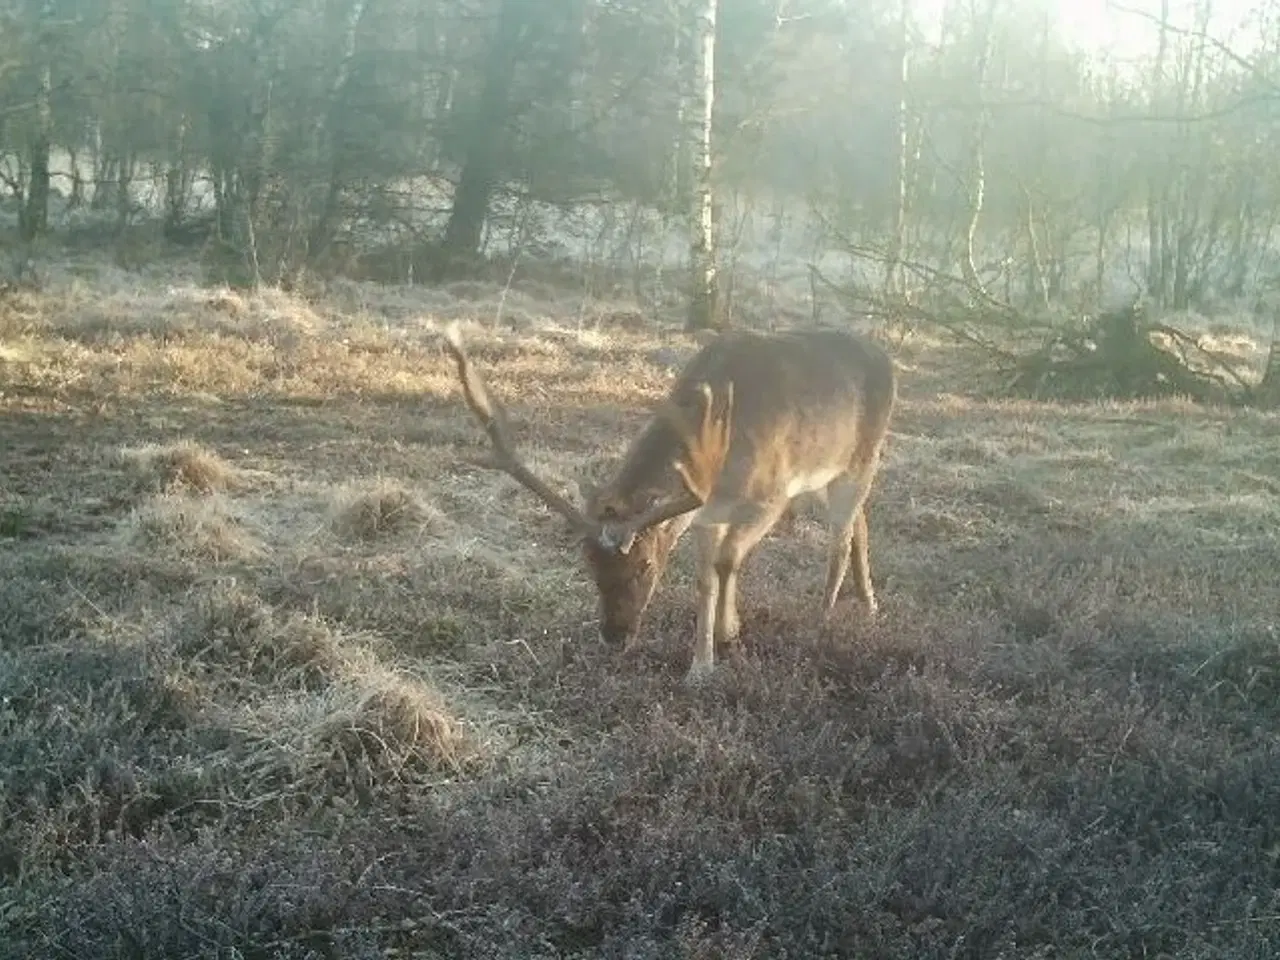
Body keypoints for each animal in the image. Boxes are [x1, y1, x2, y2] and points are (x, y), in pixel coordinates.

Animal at [445, 323, 896, 686]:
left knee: (840, 537)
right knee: (862, 522)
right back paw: (869, 603)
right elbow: (705, 580)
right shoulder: (705, 515)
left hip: (859, 461)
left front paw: (729, 632)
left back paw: (822, 621)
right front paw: (702, 665)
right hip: (829, 478)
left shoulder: (770, 496)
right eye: (587, 564)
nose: (614, 636)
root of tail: (886, 356)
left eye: (645, 565)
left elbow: (727, 562)